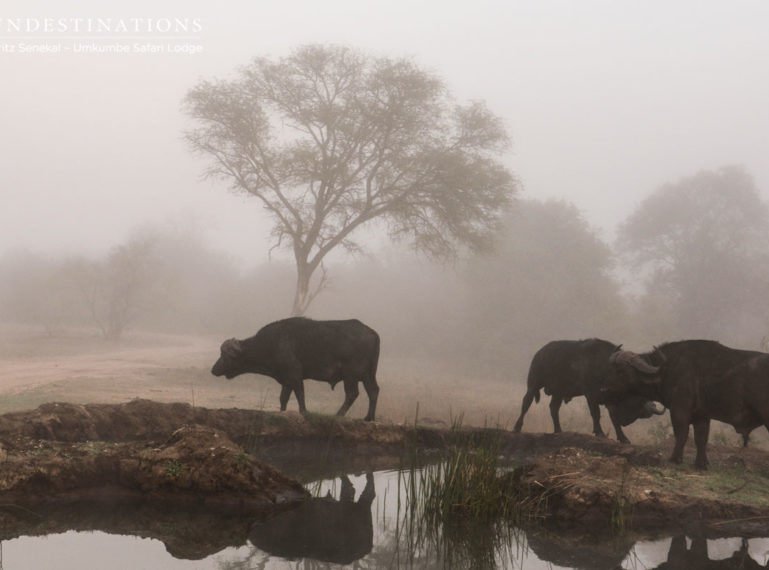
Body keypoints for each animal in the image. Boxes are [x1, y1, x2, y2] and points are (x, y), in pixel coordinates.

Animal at [212, 318, 380, 420]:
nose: (213, 370)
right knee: (373, 391)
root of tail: (372, 333)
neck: (271, 343)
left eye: (224, 355)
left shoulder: (294, 375)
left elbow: (300, 394)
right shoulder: (286, 379)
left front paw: (304, 412)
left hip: (350, 376)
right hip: (368, 375)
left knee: (352, 394)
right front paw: (282, 412)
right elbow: (283, 398)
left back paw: (338, 415)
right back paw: (369, 418)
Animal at [512, 340, 664, 442]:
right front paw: (600, 432)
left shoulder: (609, 400)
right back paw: (517, 427)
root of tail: (540, 352)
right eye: (638, 403)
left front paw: (623, 438)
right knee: (526, 403)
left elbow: (613, 419)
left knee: (553, 408)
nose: (625, 422)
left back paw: (558, 430)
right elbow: (595, 414)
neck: (603, 368)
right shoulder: (591, 395)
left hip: (558, 393)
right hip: (533, 384)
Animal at [604, 340, 764, 468]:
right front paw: (701, 464)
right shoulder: (701, 416)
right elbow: (701, 438)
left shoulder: (679, 410)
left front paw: (675, 459)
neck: (667, 369)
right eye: (611, 369)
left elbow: (681, 434)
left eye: (622, 371)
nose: (605, 389)